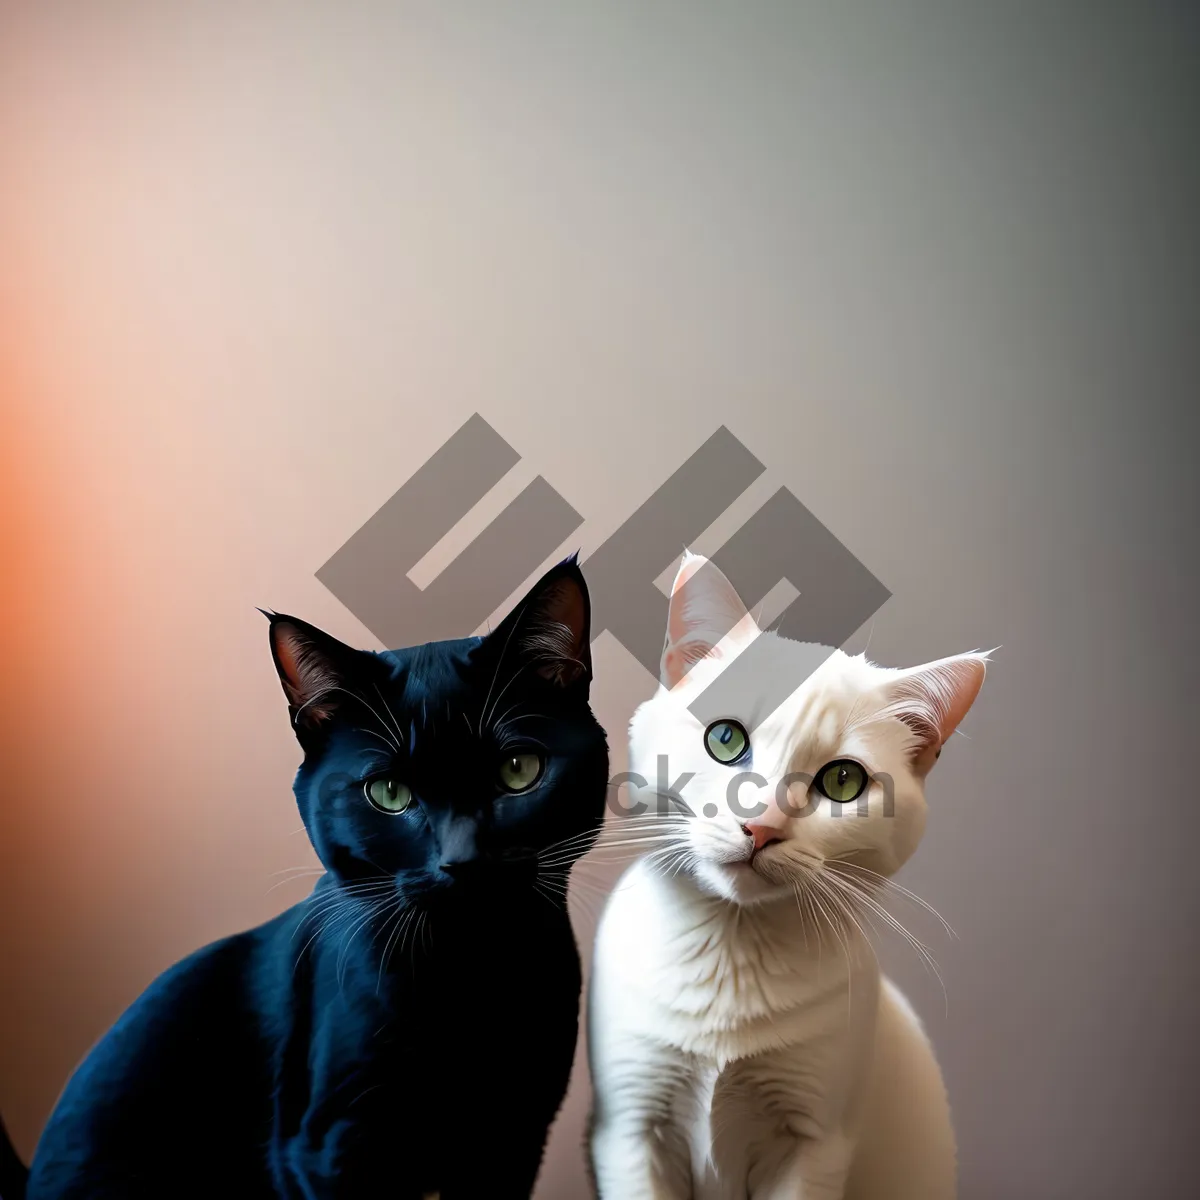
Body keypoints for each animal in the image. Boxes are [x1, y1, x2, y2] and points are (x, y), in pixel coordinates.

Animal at [11, 556, 609, 1195]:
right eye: (388, 793)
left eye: (518, 770)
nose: (462, 859)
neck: (469, 975)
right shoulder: (329, 1147)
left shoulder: (516, 1136)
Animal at [585, 552, 988, 1200]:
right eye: (725, 739)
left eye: (844, 781)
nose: (763, 824)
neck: (730, 950)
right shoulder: (630, 1130)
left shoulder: (813, 1145)